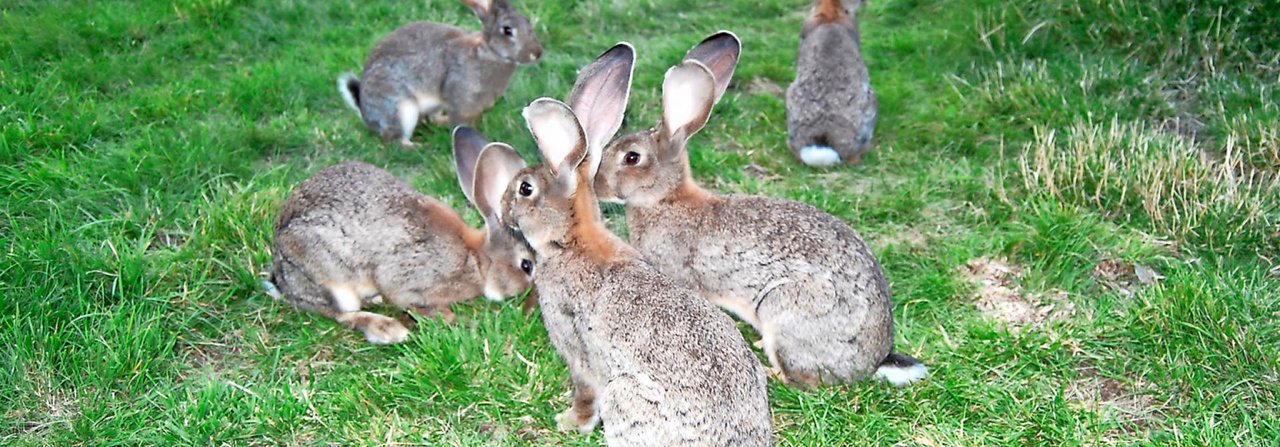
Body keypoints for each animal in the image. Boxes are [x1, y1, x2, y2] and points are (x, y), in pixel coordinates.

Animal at [264, 126, 535, 343]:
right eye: (526, 265)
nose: (533, 295)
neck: (477, 260)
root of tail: (281, 275)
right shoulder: (408, 280)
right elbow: (410, 301)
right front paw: (450, 318)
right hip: (327, 276)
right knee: (338, 312)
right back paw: (386, 329)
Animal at [335, 0, 540, 147]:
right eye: (507, 30)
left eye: (527, 21)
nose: (537, 53)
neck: (487, 52)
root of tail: (364, 111)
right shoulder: (460, 97)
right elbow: (461, 124)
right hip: (401, 108)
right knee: (395, 138)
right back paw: (416, 146)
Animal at [499, 43, 768, 443]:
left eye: (525, 189)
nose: (503, 212)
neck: (571, 240)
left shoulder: (576, 348)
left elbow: (585, 392)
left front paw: (570, 422)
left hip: (623, 397)